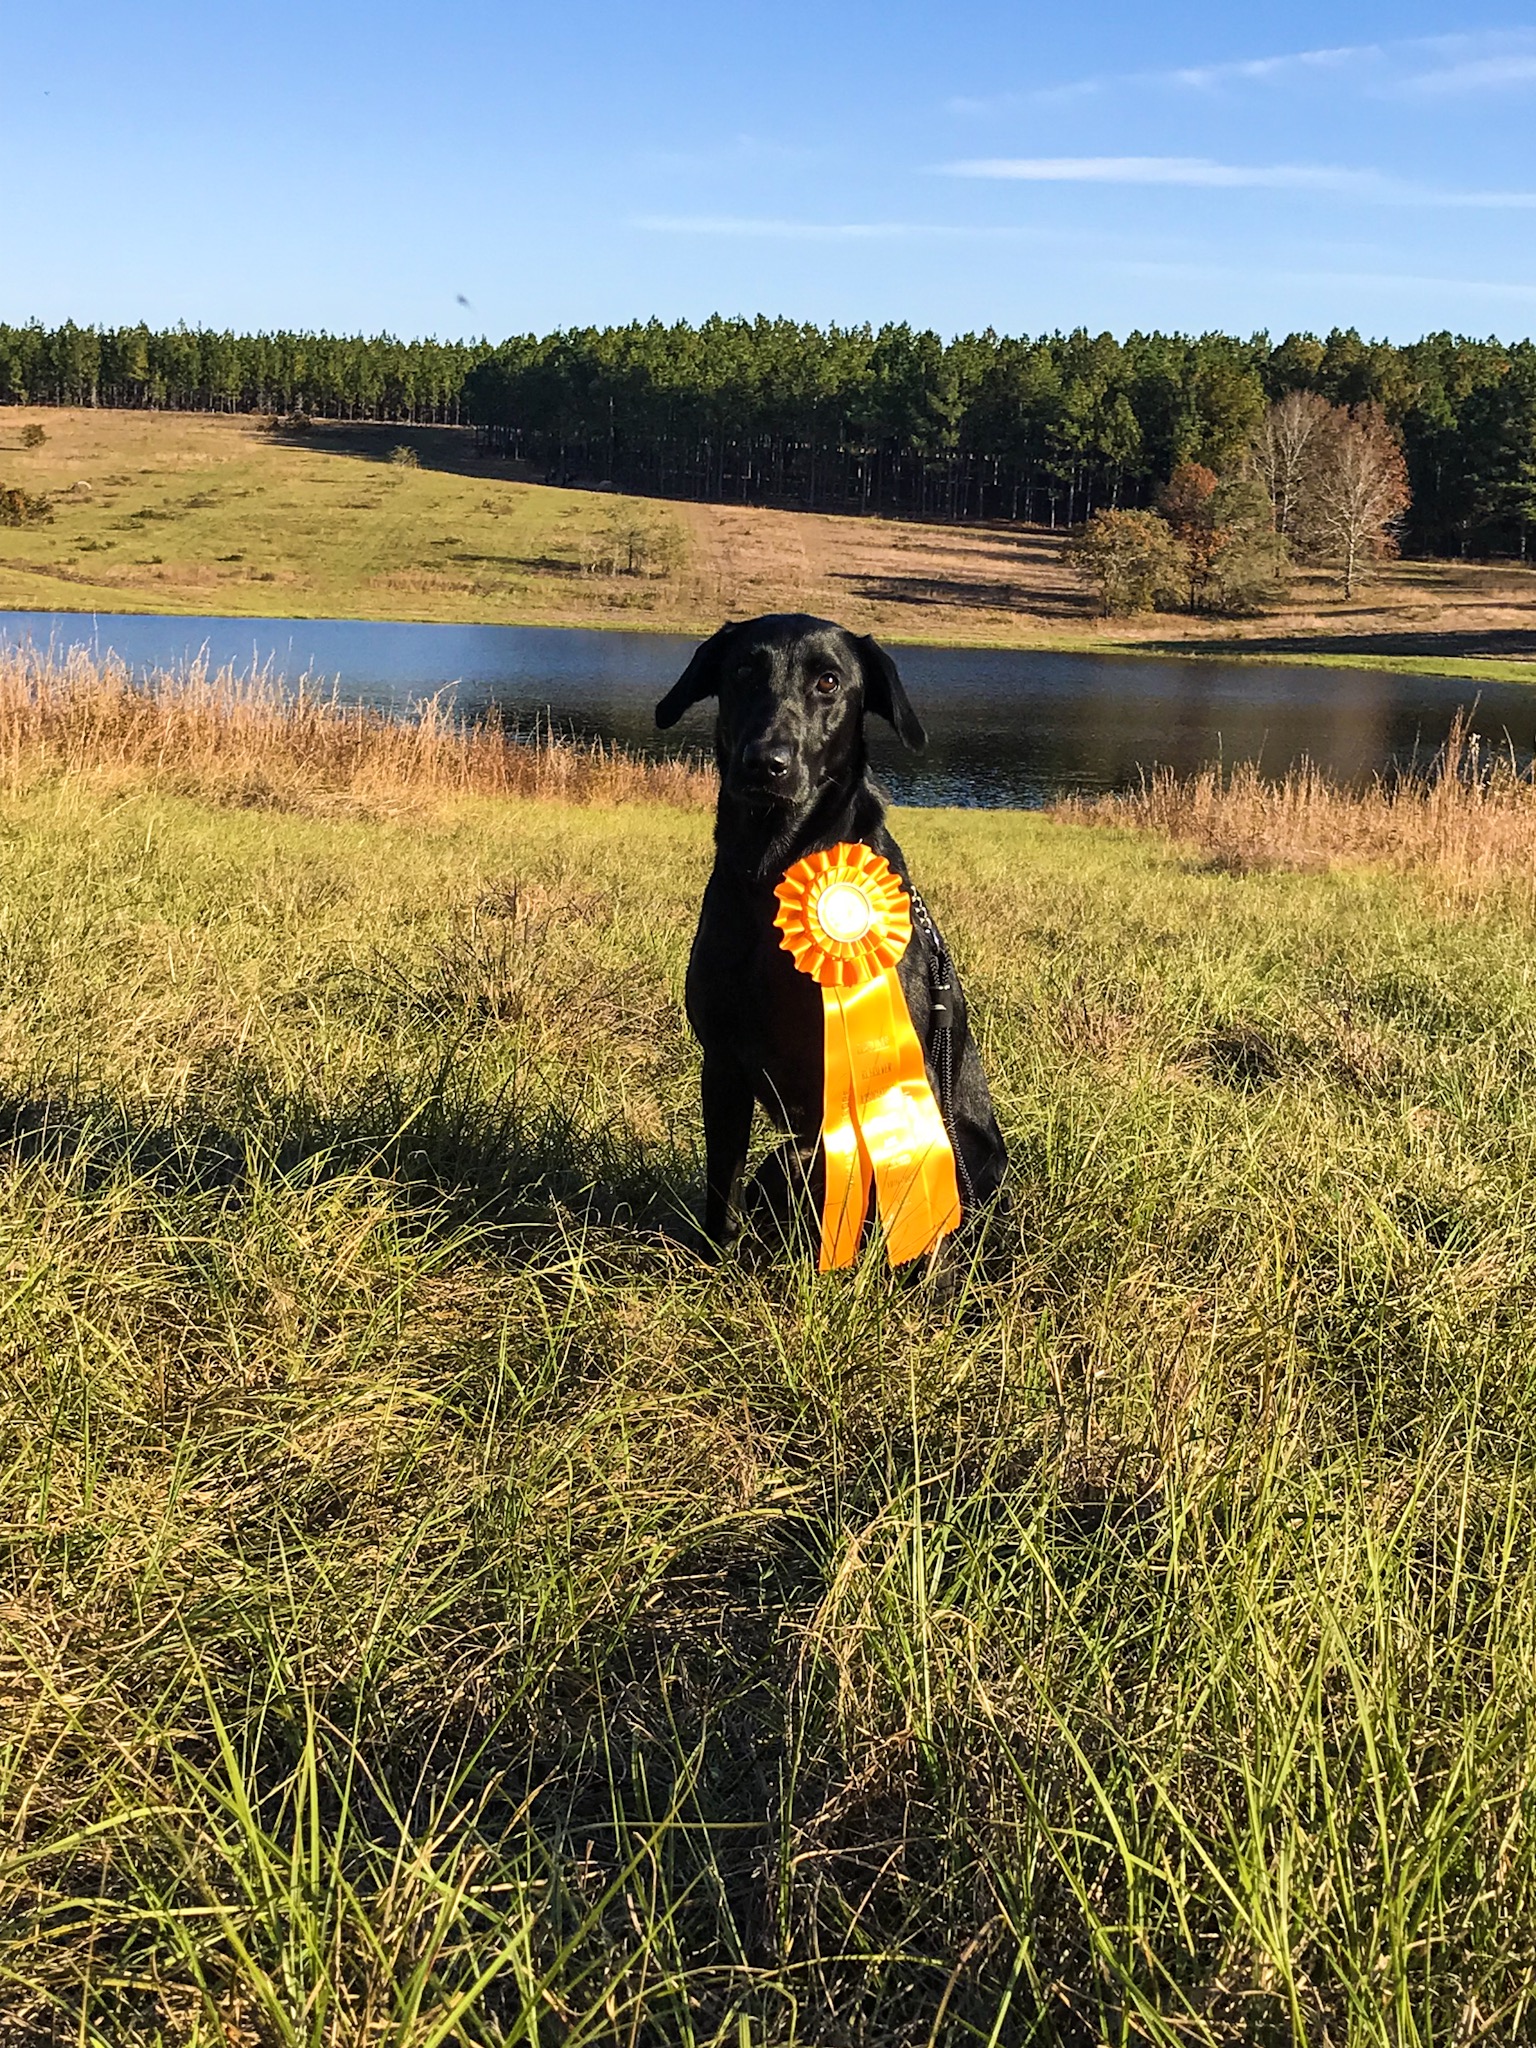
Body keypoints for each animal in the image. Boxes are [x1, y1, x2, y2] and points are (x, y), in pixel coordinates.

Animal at [659, 610, 1011, 1245]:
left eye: (828, 682)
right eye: (742, 671)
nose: (766, 764)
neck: (771, 871)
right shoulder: (721, 1062)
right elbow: (722, 1185)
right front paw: (711, 1259)